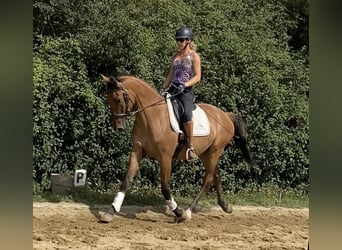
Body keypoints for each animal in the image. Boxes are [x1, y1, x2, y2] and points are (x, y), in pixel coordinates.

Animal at [99, 74, 254, 223]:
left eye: (117, 99)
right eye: (109, 100)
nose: (118, 127)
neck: (152, 116)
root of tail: (225, 115)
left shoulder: (165, 157)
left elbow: (165, 187)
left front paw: (179, 212)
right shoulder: (137, 152)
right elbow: (126, 181)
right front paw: (110, 212)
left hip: (215, 151)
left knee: (208, 179)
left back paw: (189, 211)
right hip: (205, 153)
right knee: (216, 174)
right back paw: (225, 206)